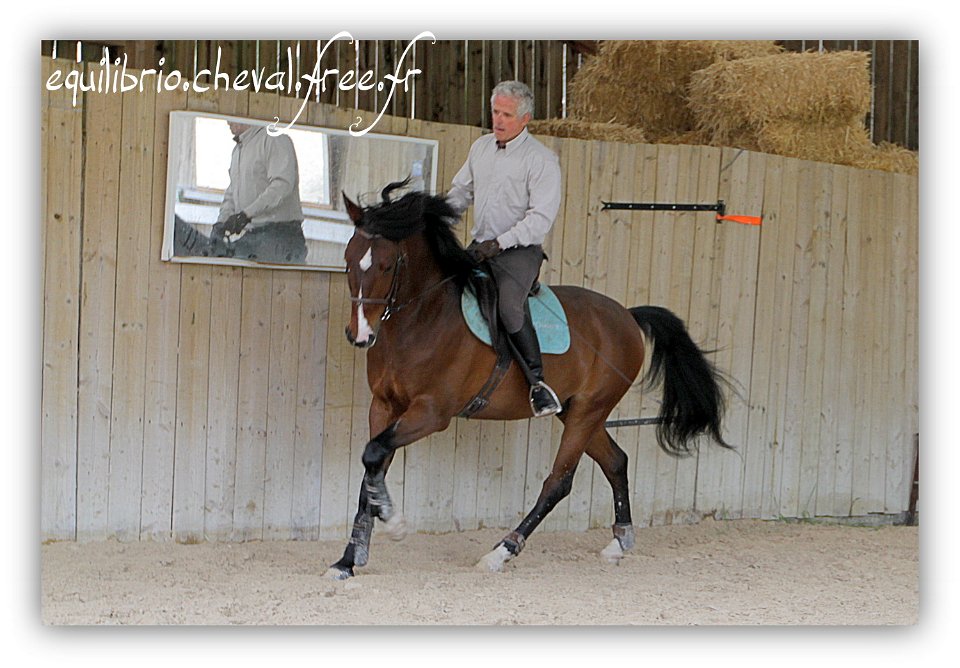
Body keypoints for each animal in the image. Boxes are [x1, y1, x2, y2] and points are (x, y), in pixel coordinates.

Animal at [326, 183, 732, 580]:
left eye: (386, 265)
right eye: (348, 260)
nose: (359, 335)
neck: (421, 320)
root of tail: (628, 317)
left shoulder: (431, 412)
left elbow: (373, 456)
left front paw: (393, 521)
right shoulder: (384, 406)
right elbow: (371, 468)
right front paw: (348, 559)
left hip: (588, 411)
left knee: (559, 481)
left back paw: (500, 552)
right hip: (579, 413)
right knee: (615, 461)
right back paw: (619, 542)